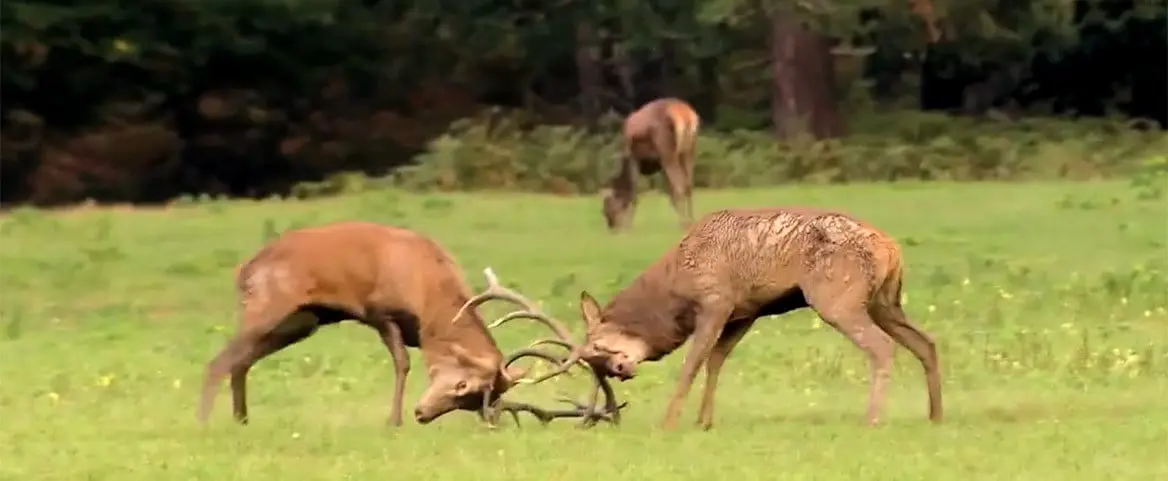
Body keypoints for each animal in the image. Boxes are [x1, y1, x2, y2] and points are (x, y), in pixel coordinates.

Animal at [196, 221, 621, 427]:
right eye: (464, 386)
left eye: (472, 401)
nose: (423, 414)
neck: (427, 292)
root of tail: (245, 271)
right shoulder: (380, 311)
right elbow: (401, 362)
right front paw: (393, 420)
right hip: (269, 306)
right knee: (219, 361)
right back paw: (203, 423)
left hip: (301, 321)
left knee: (241, 361)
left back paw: (241, 419)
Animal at [507, 207, 943, 430]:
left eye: (598, 346)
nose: (619, 370)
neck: (675, 292)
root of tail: (892, 248)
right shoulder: (744, 312)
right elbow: (716, 360)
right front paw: (704, 420)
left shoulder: (716, 301)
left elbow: (692, 362)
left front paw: (668, 421)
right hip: (886, 302)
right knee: (926, 342)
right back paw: (935, 414)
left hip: (839, 298)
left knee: (881, 347)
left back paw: (873, 418)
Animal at [602, 97, 701, 233]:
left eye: (607, 210)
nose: (611, 227)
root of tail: (685, 115)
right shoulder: (659, 164)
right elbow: (669, 192)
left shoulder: (634, 158)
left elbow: (634, 191)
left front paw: (628, 227)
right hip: (688, 151)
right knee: (688, 185)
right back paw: (691, 221)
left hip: (667, 151)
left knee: (680, 185)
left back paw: (683, 224)